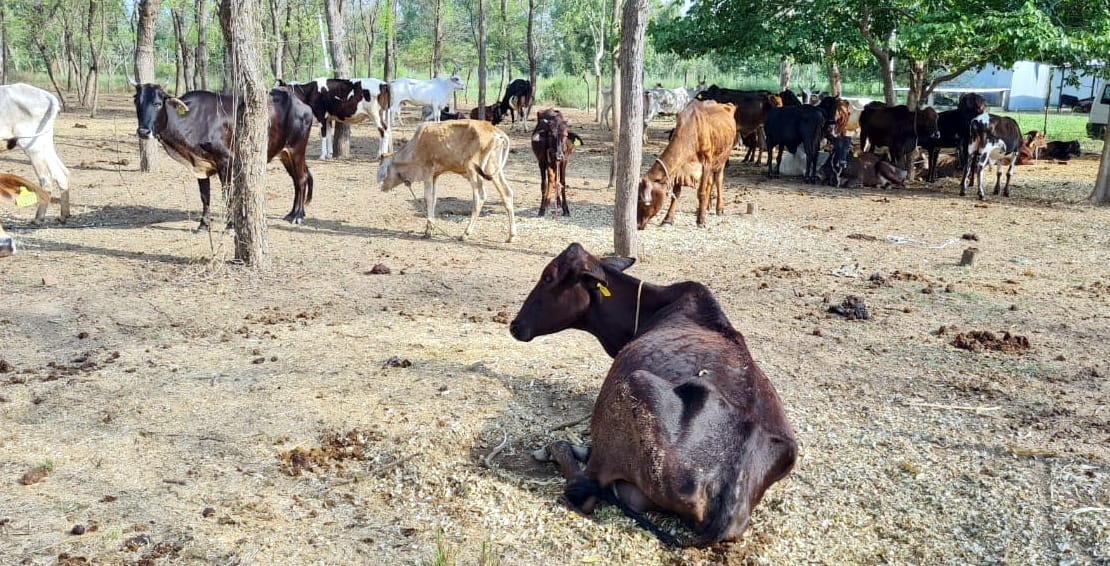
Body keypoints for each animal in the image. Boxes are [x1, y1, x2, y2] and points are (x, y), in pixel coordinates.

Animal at [0, 83, 70, 224]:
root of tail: (47, 95)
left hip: (33, 147)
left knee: (47, 179)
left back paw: (38, 218)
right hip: (45, 145)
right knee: (62, 174)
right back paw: (64, 215)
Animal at [132, 83, 315, 230]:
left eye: (157, 103)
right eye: (137, 103)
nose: (143, 132)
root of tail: (302, 104)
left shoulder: (227, 162)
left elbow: (227, 195)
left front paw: (231, 225)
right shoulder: (200, 165)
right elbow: (205, 196)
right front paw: (203, 225)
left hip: (297, 149)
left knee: (301, 179)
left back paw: (298, 216)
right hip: (284, 154)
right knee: (297, 180)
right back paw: (292, 213)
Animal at [377, 120, 517, 242]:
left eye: (382, 167)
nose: (381, 187)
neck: (416, 146)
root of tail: (496, 131)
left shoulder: (427, 172)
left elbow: (428, 198)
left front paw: (428, 231)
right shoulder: (435, 175)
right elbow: (433, 200)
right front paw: (430, 228)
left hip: (473, 170)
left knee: (480, 197)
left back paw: (465, 234)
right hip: (493, 168)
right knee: (507, 193)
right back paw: (511, 235)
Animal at [637, 100, 736, 228]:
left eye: (643, 201)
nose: (638, 224)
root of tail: (728, 105)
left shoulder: (706, 163)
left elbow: (701, 193)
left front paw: (701, 220)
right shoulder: (680, 168)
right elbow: (676, 193)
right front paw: (667, 219)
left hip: (722, 159)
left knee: (718, 180)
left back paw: (719, 208)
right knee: (710, 182)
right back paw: (704, 207)